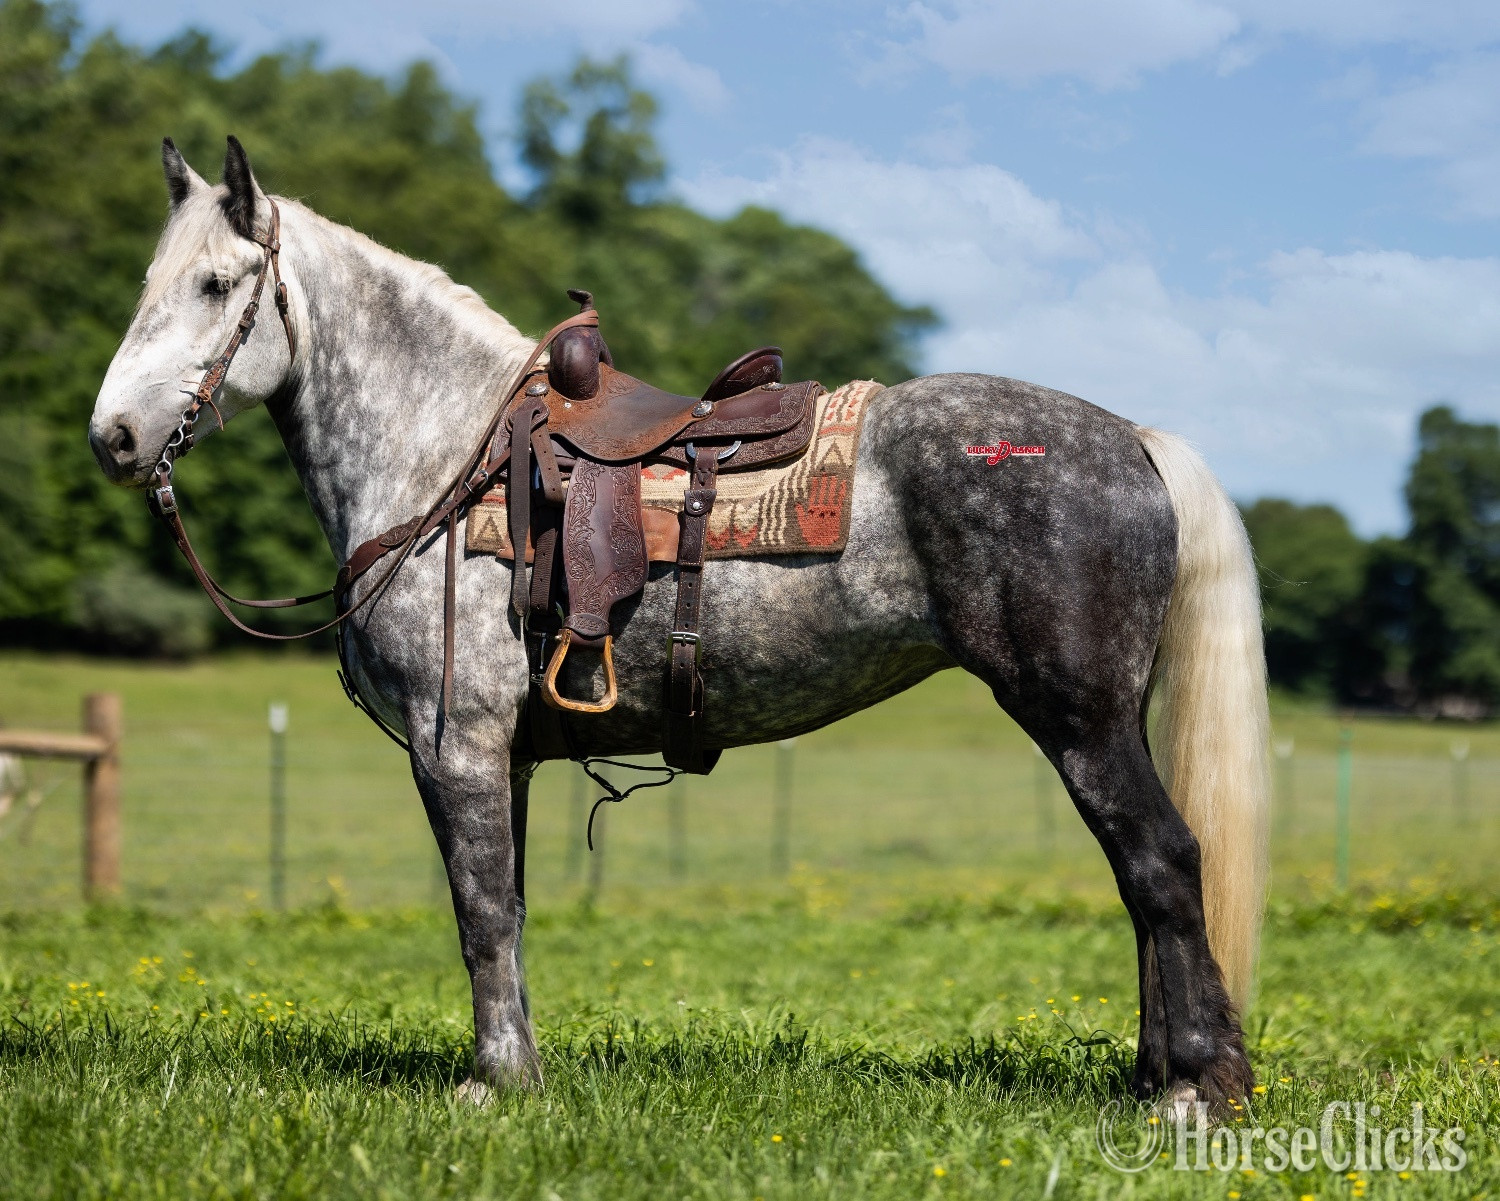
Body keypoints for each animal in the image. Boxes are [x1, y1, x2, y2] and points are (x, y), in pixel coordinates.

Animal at [89, 137, 1269, 1107]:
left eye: (215, 284)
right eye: (152, 282)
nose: (112, 436)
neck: (450, 457)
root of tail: (1130, 437)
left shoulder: (453, 741)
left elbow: (480, 912)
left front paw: (493, 1084)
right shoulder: (506, 756)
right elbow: (508, 904)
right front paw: (522, 1069)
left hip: (1078, 717)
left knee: (1163, 861)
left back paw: (1191, 1087)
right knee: (1140, 880)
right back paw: (1154, 1075)